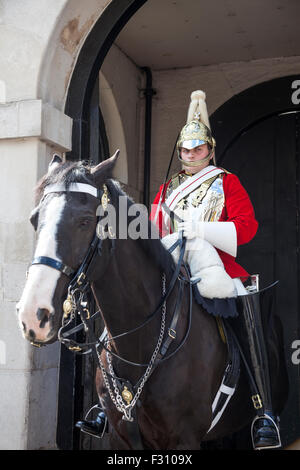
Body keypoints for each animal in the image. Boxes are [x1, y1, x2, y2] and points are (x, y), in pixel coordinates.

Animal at [17, 152, 288, 450]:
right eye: (34, 219)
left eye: (85, 221)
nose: (33, 314)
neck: (140, 344)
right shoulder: (121, 437)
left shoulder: (184, 438)